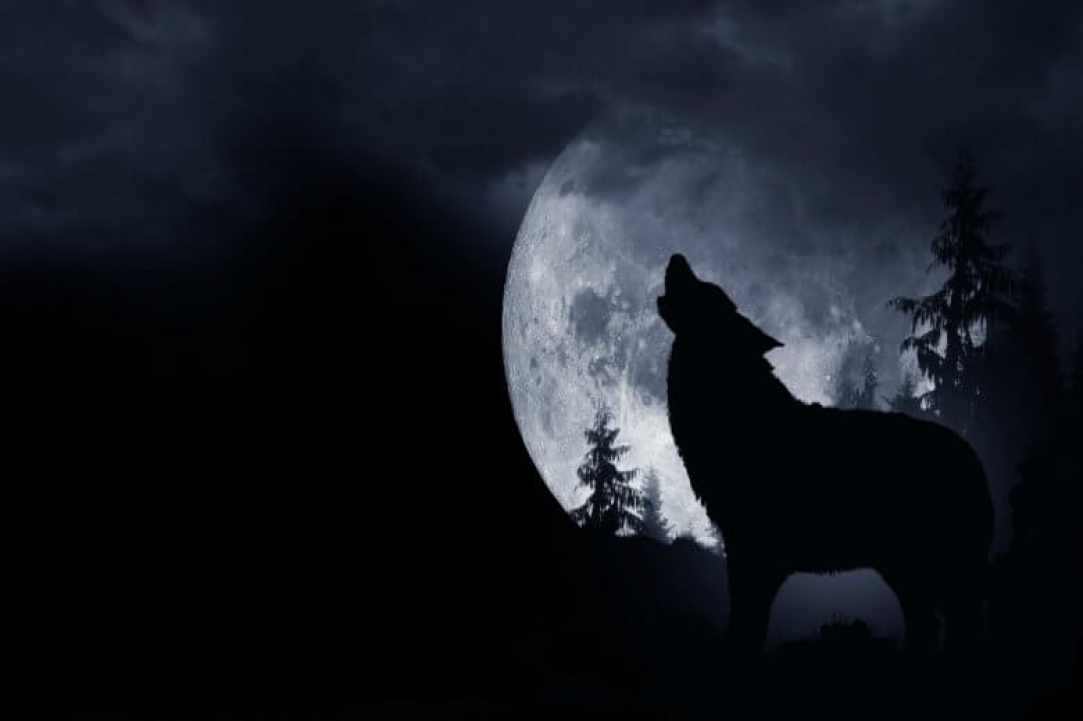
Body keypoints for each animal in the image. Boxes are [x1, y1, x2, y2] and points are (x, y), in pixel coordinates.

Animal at [657, 254, 993, 654]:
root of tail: (972, 455)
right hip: (905, 572)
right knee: (927, 627)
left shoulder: (751, 552)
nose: (677, 257)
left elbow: (745, 628)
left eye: (705, 289)